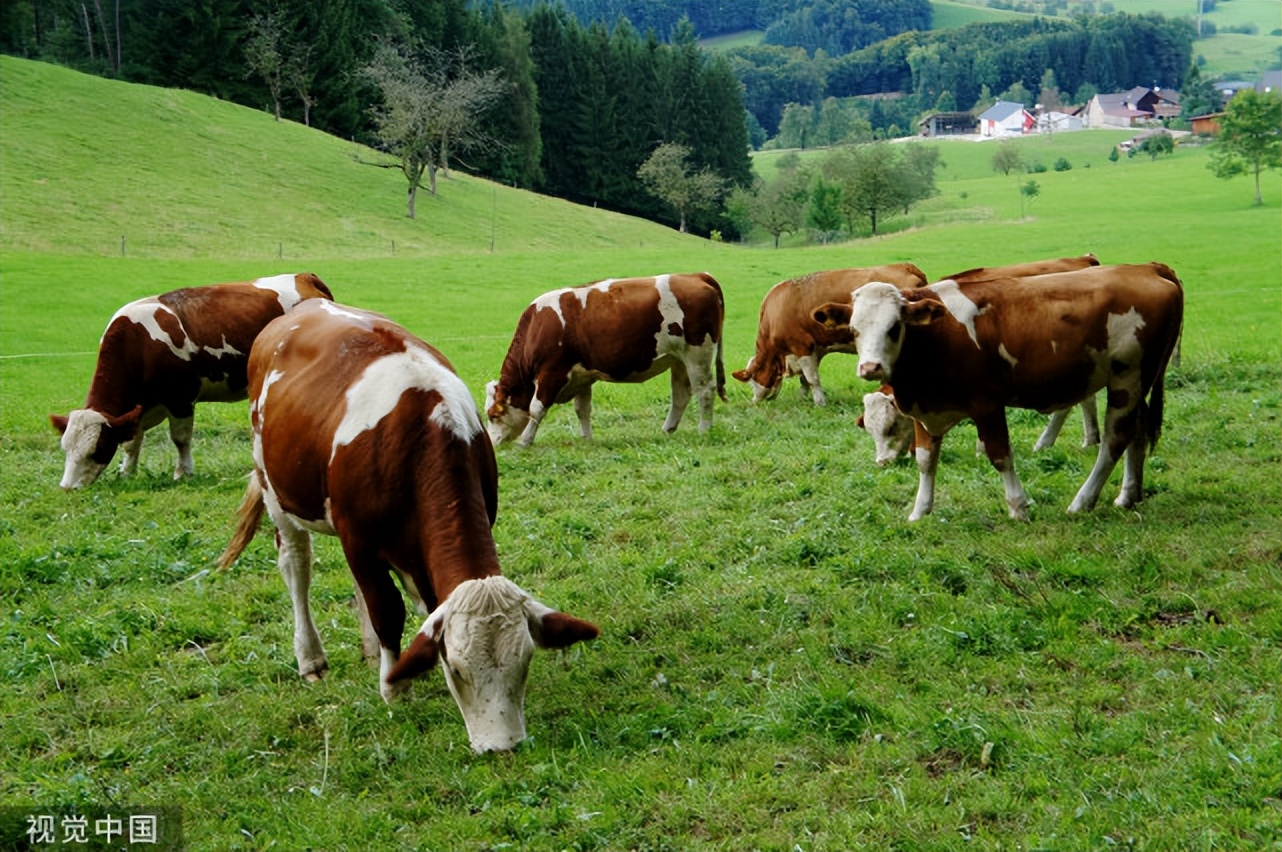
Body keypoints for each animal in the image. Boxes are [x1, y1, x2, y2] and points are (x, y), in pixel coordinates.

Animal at [50, 270, 333, 484]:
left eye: (96, 449)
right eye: (65, 448)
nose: (67, 487)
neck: (137, 343)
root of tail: (304, 276)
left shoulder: (181, 398)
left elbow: (180, 439)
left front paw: (183, 473)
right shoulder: (139, 406)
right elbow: (132, 441)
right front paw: (127, 472)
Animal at [217, 298, 597, 753]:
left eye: (523, 662)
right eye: (457, 669)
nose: (502, 746)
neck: (421, 436)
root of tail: (307, 305)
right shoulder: (359, 540)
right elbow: (387, 608)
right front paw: (394, 686)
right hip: (275, 487)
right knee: (297, 566)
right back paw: (311, 658)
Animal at [484, 272, 728, 448]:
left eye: (493, 415)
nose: (493, 444)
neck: (537, 326)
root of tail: (695, 275)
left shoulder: (551, 372)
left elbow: (536, 409)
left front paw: (525, 442)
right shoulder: (581, 376)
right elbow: (582, 409)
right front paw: (587, 439)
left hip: (697, 354)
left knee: (705, 391)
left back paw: (704, 429)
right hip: (678, 359)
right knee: (681, 395)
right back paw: (667, 429)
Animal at [733, 261, 933, 404]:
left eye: (751, 381)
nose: (754, 401)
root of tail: (904, 266)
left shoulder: (802, 346)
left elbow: (812, 378)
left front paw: (820, 402)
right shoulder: (814, 349)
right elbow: (805, 379)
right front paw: (802, 398)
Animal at [815, 262, 1184, 517]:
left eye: (894, 327)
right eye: (853, 329)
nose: (870, 368)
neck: (936, 337)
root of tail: (1146, 268)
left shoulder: (987, 404)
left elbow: (1000, 456)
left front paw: (1018, 506)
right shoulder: (926, 410)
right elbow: (925, 460)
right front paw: (920, 511)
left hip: (1127, 378)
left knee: (1115, 440)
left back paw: (1082, 501)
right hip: (1138, 382)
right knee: (1138, 432)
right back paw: (1128, 495)